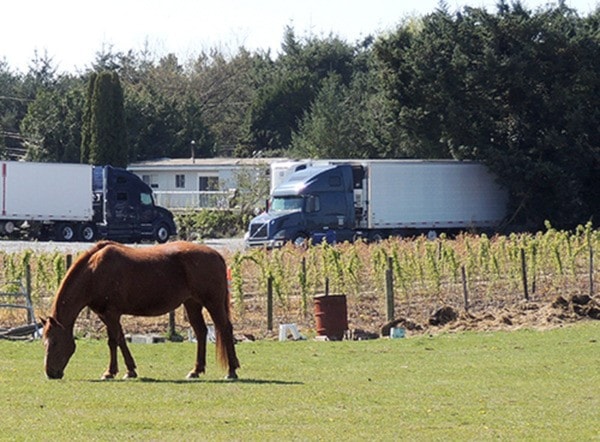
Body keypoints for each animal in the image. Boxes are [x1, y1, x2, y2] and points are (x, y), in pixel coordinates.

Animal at [42, 240, 240, 382]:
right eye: (44, 342)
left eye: (55, 342)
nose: (50, 373)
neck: (94, 271)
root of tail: (217, 255)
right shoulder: (106, 315)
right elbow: (117, 341)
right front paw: (121, 371)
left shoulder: (111, 314)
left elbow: (115, 341)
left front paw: (117, 372)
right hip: (192, 304)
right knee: (201, 332)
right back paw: (196, 371)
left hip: (212, 303)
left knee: (225, 328)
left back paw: (231, 371)